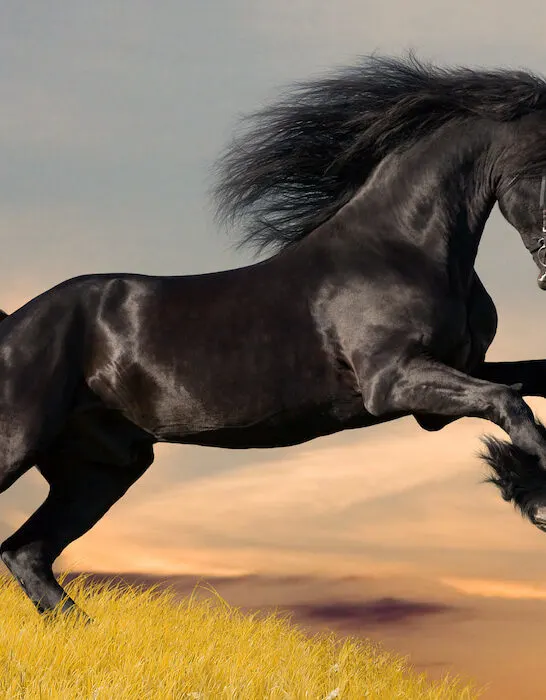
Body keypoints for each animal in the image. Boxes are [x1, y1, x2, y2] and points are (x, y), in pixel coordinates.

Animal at [2, 56, 544, 624]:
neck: (401, 250)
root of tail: (13, 324)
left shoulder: (445, 387)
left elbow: (522, 386)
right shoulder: (393, 381)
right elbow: (509, 403)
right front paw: (540, 496)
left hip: (102, 469)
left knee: (26, 553)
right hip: (20, 442)